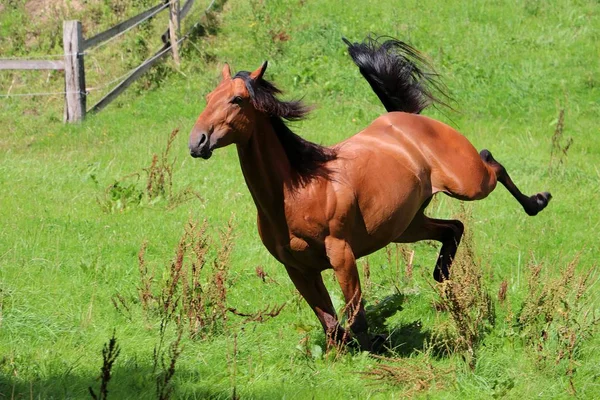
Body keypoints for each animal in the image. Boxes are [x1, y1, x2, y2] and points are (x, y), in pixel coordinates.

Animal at [190, 37, 552, 350]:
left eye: (237, 100)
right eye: (206, 98)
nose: (197, 142)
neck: (299, 190)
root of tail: (409, 118)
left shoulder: (342, 255)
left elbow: (357, 317)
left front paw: (374, 351)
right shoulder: (298, 268)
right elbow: (330, 323)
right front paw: (338, 355)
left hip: (468, 183)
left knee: (492, 163)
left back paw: (537, 202)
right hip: (405, 226)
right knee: (453, 227)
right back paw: (442, 275)